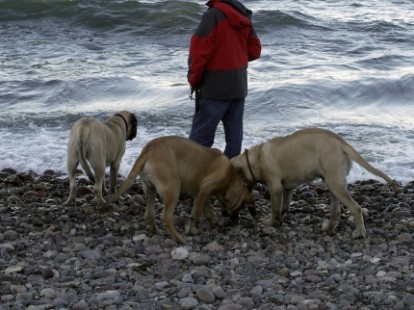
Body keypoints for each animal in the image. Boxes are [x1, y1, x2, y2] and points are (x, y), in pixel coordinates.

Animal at [105, 136, 251, 245]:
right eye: (241, 205)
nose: (235, 219)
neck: (230, 177)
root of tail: (149, 149)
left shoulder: (200, 193)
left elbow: (207, 210)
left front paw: (214, 222)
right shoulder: (206, 188)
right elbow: (196, 212)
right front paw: (190, 229)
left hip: (150, 190)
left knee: (149, 214)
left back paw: (157, 232)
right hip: (173, 188)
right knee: (165, 217)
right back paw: (178, 238)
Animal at [231, 127, 396, 239]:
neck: (256, 158)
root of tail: (342, 143)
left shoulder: (275, 187)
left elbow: (275, 208)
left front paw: (270, 221)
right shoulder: (288, 187)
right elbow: (285, 206)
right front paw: (279, 221)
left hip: (335, 183)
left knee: (356, 208)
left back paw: (359, 233)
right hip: (332, 183)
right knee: (336, 210)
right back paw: (329, 229)